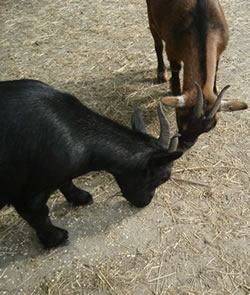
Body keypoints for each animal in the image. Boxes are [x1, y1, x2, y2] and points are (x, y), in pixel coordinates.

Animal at [0, 80, 182, 249]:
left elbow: (66, 182)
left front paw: (80, 197)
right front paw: (57, 238)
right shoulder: (29, 194)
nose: (146, 201)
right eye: (163, 177)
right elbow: (38, 214)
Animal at [146, 0, 247, 150]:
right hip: (151, 16)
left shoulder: (219, 52)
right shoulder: (172, 49)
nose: (185, 145)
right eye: (180, 117)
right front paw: (174, 89)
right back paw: (162, 73)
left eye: (209, 128)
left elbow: (215, 71)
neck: (202, 26)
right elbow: (175, 68)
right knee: (157, 42)